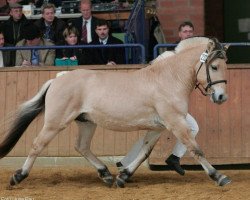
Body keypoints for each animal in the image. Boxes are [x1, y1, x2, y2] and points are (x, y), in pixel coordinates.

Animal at [0, 36, 230, 188]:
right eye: (215, 67)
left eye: (225, 66)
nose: (221, 97)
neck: (168, 79)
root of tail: (58, 78)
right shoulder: (175, 122)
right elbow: (195, 148)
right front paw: (219, 176)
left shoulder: (159, 127)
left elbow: (144, 152)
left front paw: (123, 176)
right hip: (56, 122)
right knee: (37, 145)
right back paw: (18, 176)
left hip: (86, 122)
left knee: (81, 146)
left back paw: (106, 175)